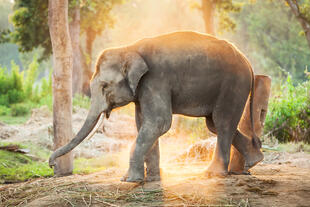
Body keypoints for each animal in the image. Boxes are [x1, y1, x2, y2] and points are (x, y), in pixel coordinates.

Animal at [49, 31, 264, 183]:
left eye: (104, 86)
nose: (51, 165)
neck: (129, 48)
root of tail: (248, 63)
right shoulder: (143, 89)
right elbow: (143, 123)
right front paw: (151, 179)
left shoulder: (155, 80)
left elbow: (159, 122)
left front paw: (130, 180)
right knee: (214, 124)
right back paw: (254, 160)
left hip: (233, 84)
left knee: (221, 122)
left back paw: (213, 174)